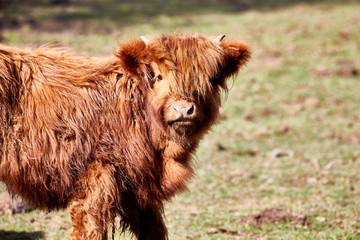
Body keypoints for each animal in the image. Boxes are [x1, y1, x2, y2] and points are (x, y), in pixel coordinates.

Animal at [0, 34, 252, 240]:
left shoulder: (140, 190)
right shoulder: (96, 179)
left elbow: (154, 231)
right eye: (158, 76)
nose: (183, 109)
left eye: (213, 78)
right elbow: (89, 230)